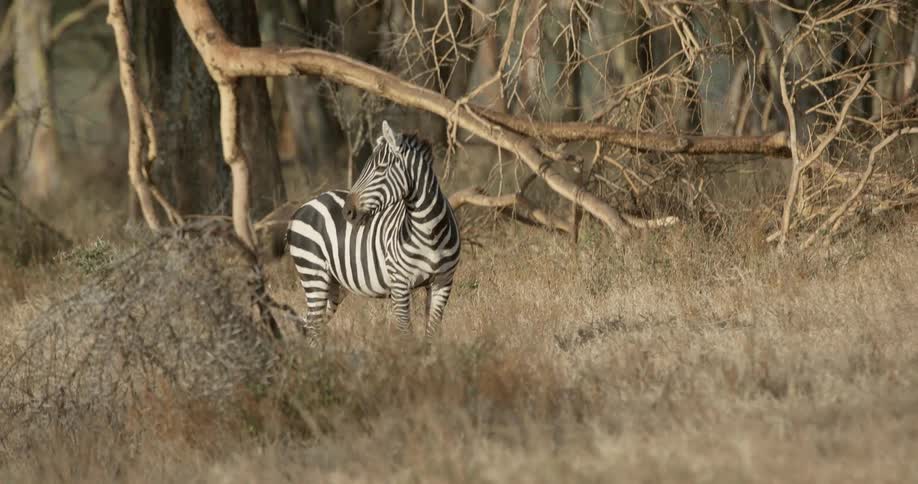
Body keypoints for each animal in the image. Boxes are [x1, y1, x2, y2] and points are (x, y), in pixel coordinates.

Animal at [286, 120, 461, 342]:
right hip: (313, 273)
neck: (430, 231)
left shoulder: (443, 282)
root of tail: (303, 207)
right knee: (314, 327)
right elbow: (405, 332)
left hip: (334, 285)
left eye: (381, 168)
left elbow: (432, 333)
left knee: (311, 325)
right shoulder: (400, 283)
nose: (347, 212)